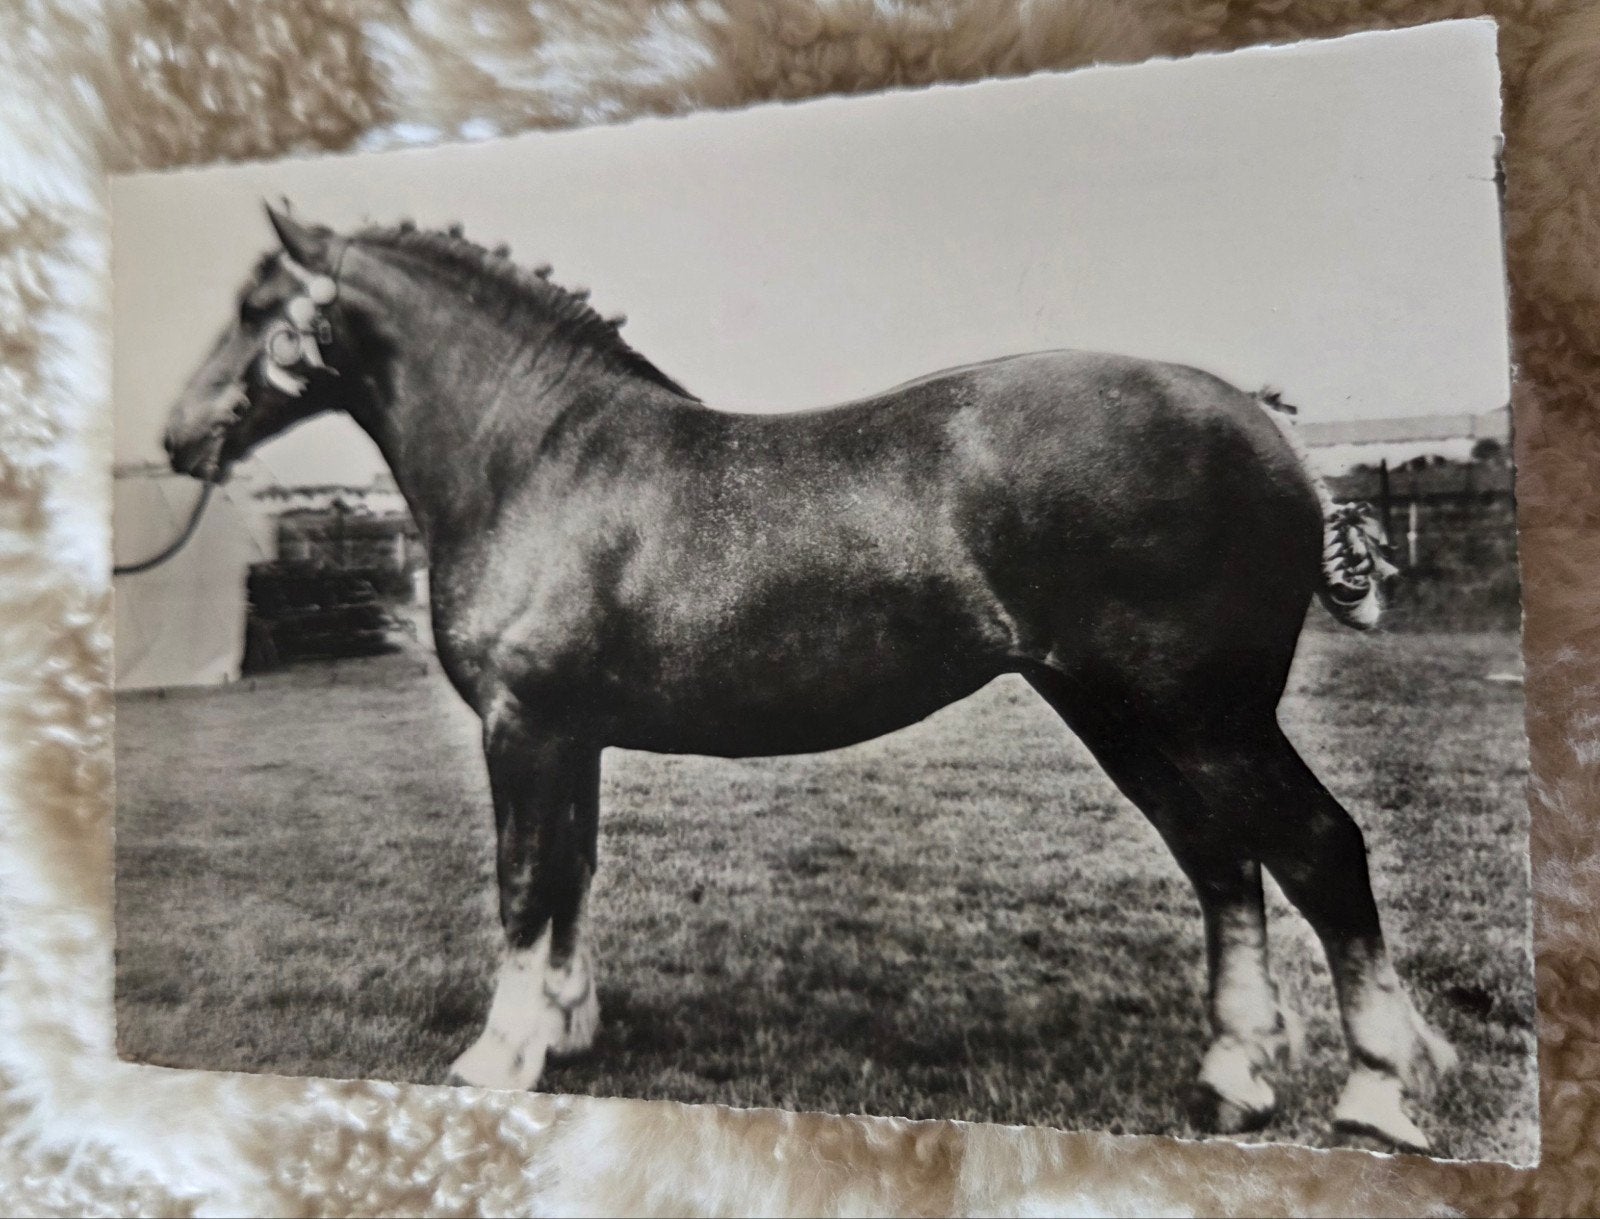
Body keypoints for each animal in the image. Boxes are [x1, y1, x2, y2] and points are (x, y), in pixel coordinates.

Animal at [159, 204, 1455, 1151]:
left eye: (259, 307)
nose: (177, 438)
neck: (537, 458)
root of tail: (1266, 426)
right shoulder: (568, 735)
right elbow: (572, 870)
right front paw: (564, 1034)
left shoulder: (521, 729)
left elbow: (524, 880)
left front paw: (497, 1053)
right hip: (1125, 714)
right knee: (1221, 863)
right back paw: (1232, 1076)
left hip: (1203, 715)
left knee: (1319, 847)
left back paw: (1376, 1091)